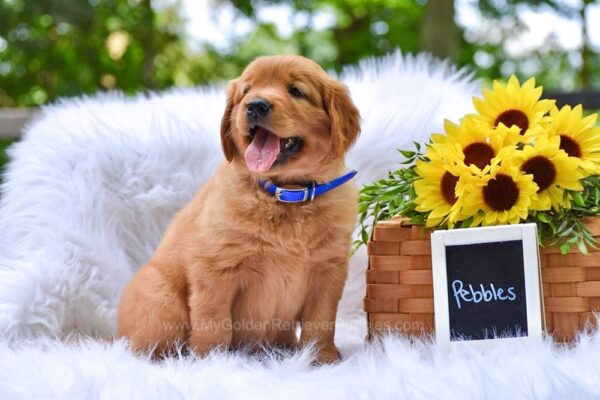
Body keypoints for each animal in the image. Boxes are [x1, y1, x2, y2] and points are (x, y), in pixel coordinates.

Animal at [118, 54, 360, 364]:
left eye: (296, 91)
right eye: (246, 91)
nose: (255, 105)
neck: (286, 195)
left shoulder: (329, 270)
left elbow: (321, 319)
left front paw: (321, 356)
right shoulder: (215, 268)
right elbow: (214, 321)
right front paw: (211, 360)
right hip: (162, 301)